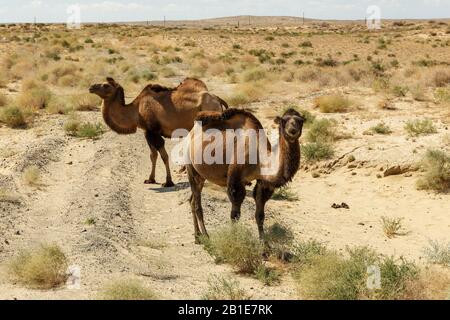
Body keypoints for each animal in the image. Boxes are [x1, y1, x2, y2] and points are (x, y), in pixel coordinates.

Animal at [88, 77, 229, 188]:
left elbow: (164, 155)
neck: (135, 110)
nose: (91, 87)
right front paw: (150, 179)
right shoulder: (147, 132)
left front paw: (168, 182)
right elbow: (153, 155)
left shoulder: (153, 131)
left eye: (106, 85)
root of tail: (217, 99)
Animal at [185, 107, 304, 242]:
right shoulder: (235, 179)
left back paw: (197, 236)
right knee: (197, 204)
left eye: (301, 121)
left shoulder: (263, 182)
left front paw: (264, 244)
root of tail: (191, 132)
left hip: (201, 176)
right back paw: (205, 236)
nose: (292, 130)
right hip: (190, 166)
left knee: (192, 200)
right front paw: (234, 239)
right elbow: (235, 215)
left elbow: (260, 215)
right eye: (283, 121)